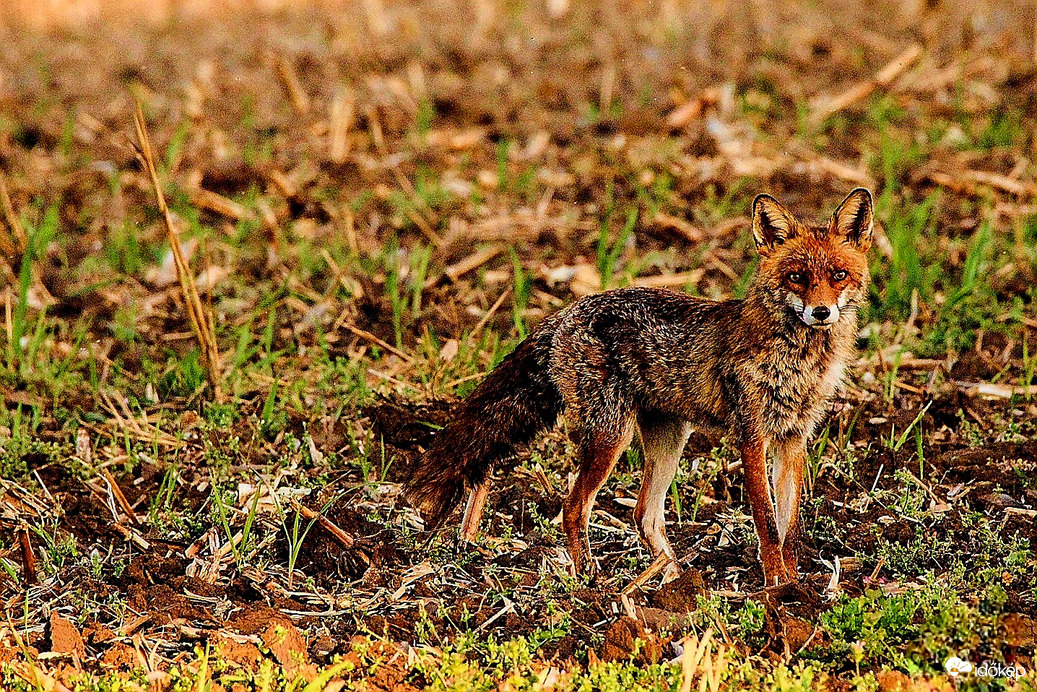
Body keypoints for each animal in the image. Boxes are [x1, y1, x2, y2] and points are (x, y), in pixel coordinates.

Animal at [400, 187, 871, 585]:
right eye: (796, 277)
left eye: (838, 274)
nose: (821, 312)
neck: (800, 362)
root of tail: (565, 312)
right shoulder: (752, 436)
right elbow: (767, 524)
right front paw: (778, 589)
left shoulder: (793, 438)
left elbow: (790, 527)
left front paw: (795, 586)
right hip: (612, 436)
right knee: (574, 508)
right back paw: (592, 581)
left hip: (669, 438)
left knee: (644, 514)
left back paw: (675, 581)